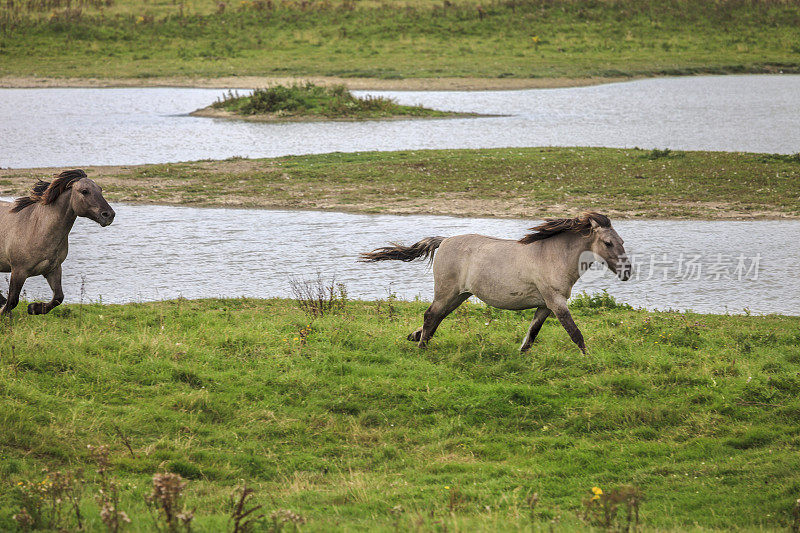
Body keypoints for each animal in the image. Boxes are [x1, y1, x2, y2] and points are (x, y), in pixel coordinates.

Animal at [0, 168, 114, 316]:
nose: (109, 215)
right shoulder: (19, 271)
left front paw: (34, 308)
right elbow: (12, 300)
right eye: (85, 191)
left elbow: (58, 297)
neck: (37, 228)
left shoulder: (53, 269)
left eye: (100, 189)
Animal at [360, 212, 632, 354]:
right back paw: (422, 346)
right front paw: (590, 358)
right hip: (447, 292)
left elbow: (532, 335)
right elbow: (575, 333)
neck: (552, 256)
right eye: (608, 243)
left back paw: (416, 337)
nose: (627, 272)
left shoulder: (545, 305)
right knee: (431, 315)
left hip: (459, 296)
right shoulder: (556, 302)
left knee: (437, 317)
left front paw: (520, 356)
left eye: (622, 241)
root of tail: (444, 240)